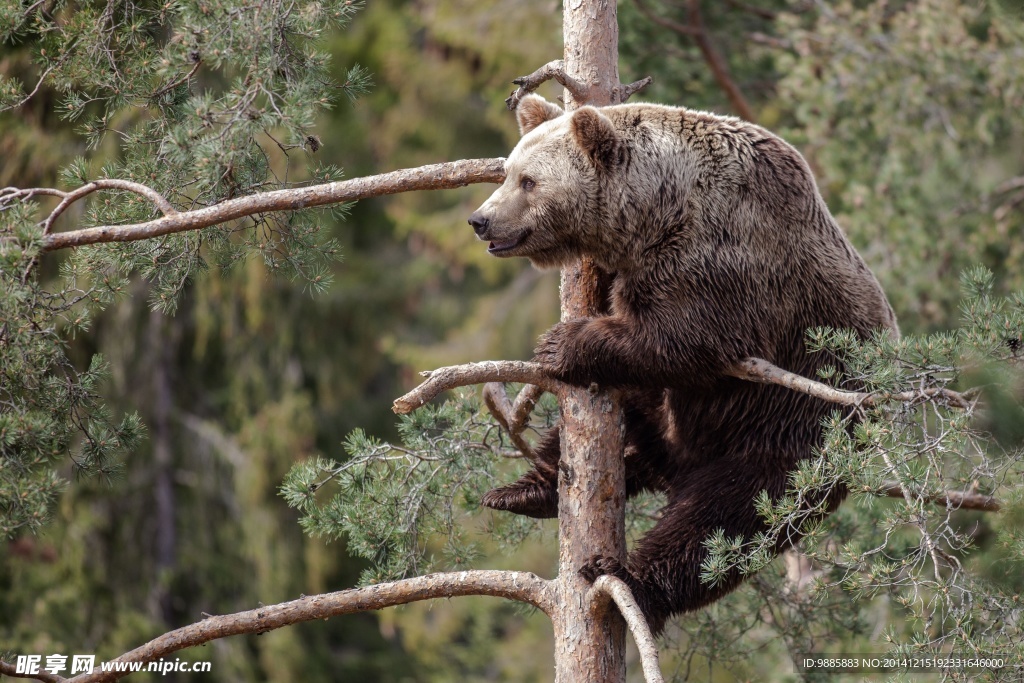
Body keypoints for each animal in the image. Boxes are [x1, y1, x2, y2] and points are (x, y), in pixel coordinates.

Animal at [468, 93, 892, 634]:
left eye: (528, 181)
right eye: (507, 172)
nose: (480, 219)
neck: (657, 211)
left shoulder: (722, 259)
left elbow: (688, 339)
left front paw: (560, 343)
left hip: (794, 432)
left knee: (722, 522)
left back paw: (627, 578)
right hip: (675, 419)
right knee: (613, 428)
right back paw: (524, 491)